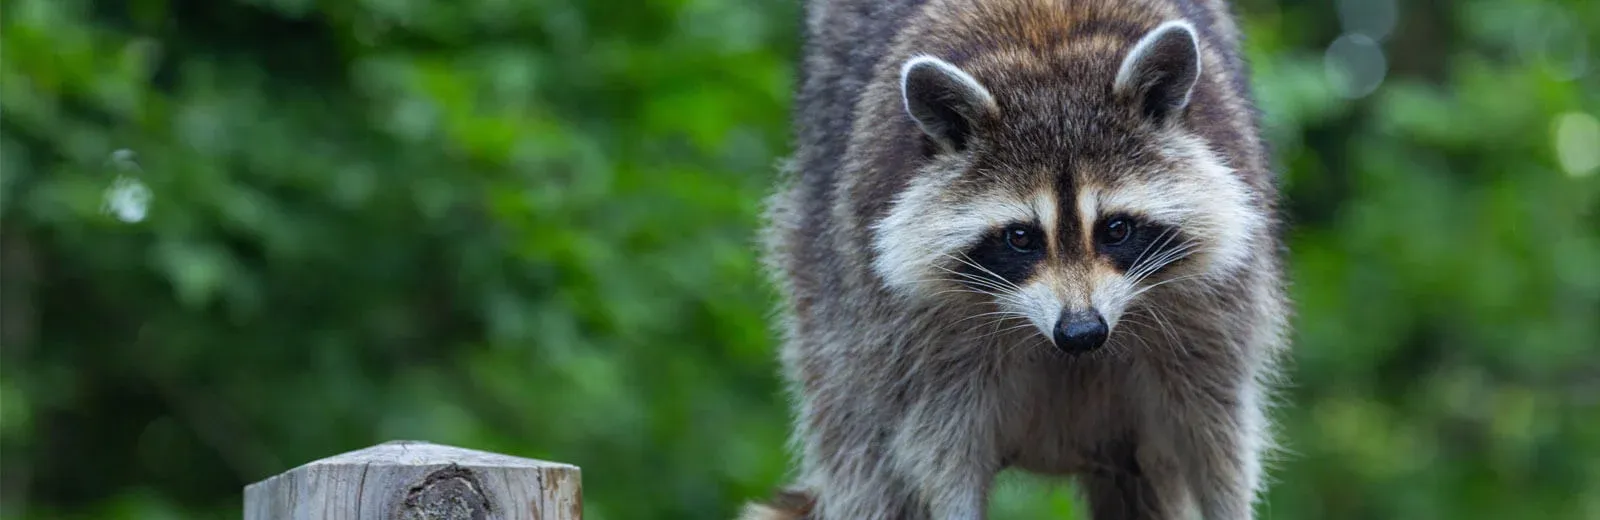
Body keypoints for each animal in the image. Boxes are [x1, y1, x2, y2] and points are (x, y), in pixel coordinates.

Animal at [745, 0, 1286, 515]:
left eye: (1116, 229)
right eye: (1021, 238)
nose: (1082, 331)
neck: (1047, 48)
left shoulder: (1214, 314)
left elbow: (1216, 437)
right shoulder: (913, 336)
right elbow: (940, 453)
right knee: (860, 453)